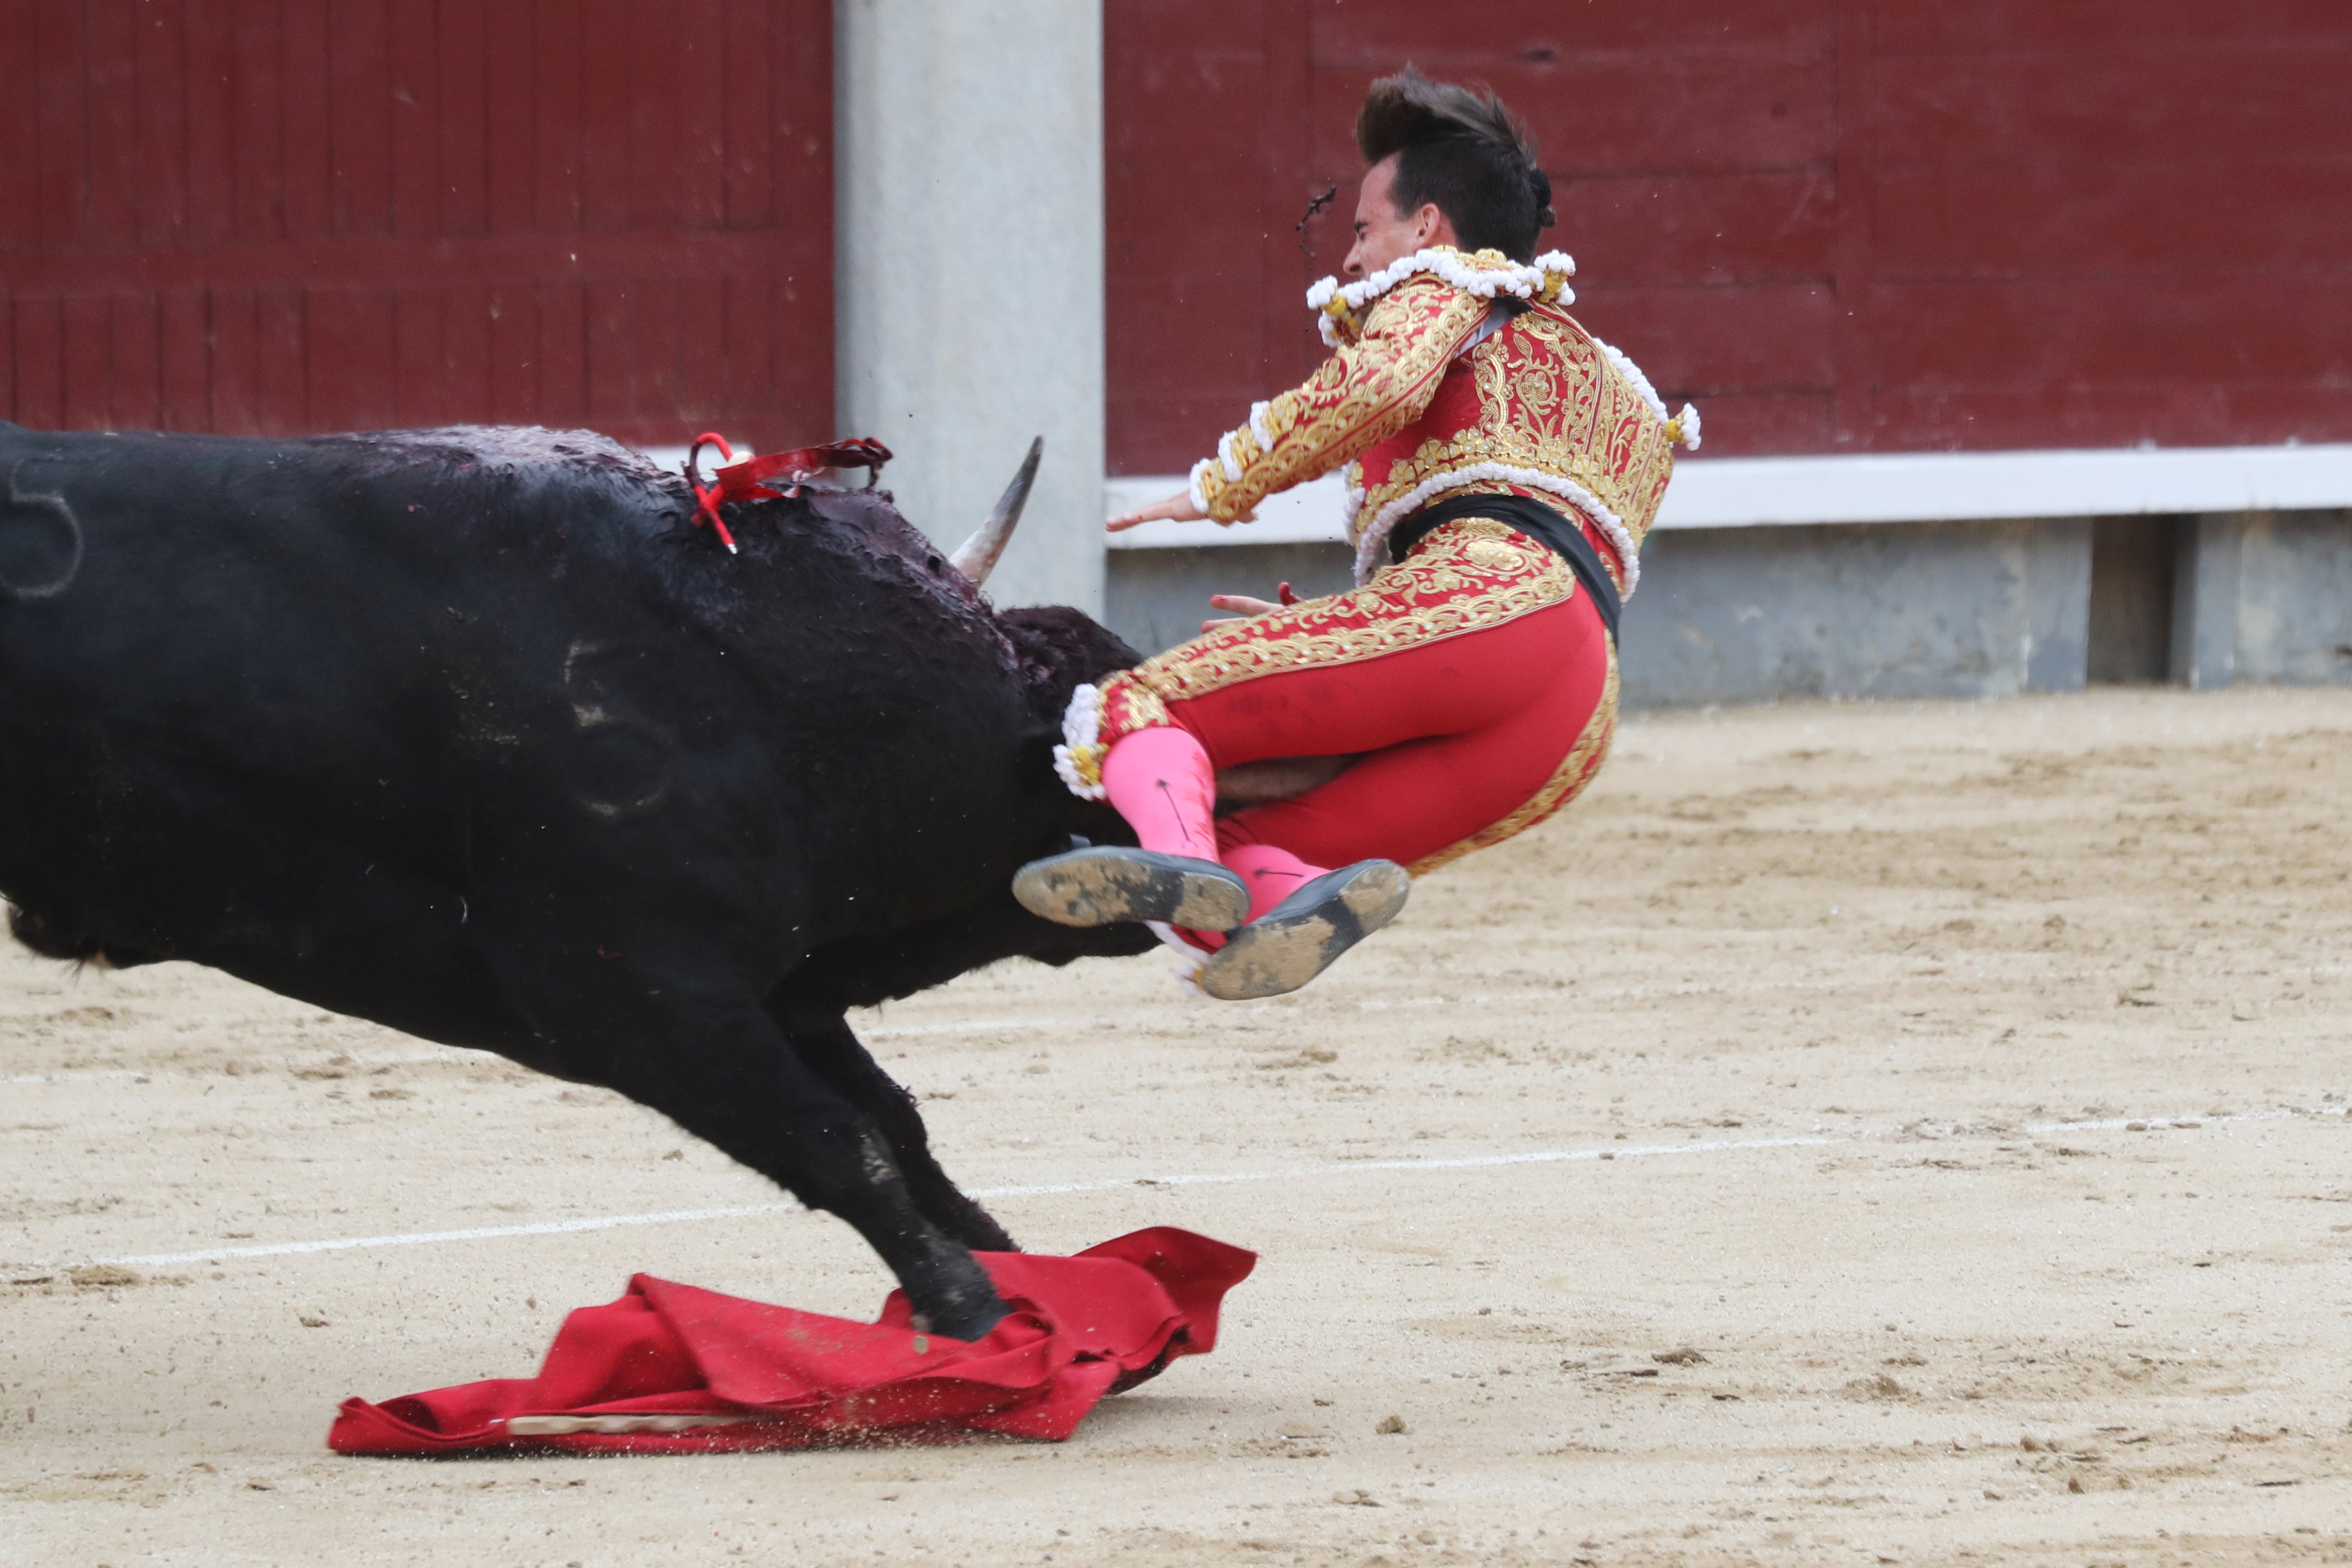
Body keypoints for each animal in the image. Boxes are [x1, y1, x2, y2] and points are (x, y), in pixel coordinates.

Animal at [0, 420, 1176, 1335]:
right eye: (1099, 792)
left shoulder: (772, 987)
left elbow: (893, 1122)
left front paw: (1015, 1266)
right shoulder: (638, 997)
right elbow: (837, 1143)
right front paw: (974, 1313)